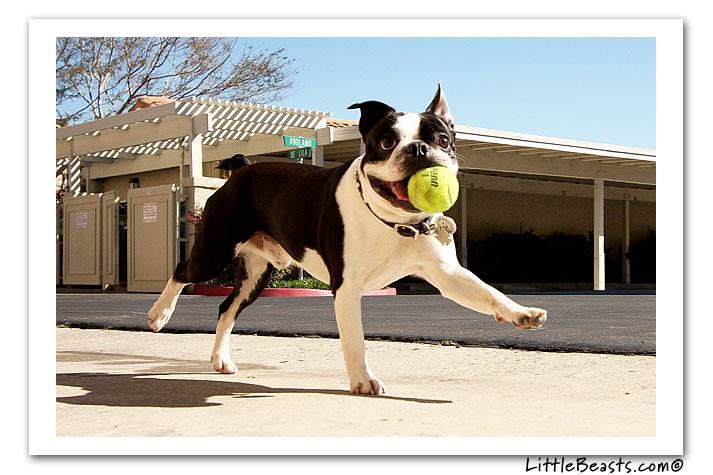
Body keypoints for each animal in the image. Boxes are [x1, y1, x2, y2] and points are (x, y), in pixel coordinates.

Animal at [150, 84, 548, 394]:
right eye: (386, 142)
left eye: (443, 140)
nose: (418, 149)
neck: (397, 223)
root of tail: (243, 168)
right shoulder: (347, 287)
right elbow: (355, 340)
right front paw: (363, 380)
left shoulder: (448, 276)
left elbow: (488, 292)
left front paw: (521, 312)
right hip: (216, 250)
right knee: (182, 269)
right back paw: (159, 314)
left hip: (256, 275)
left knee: (225, 308)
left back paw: (220, 360)